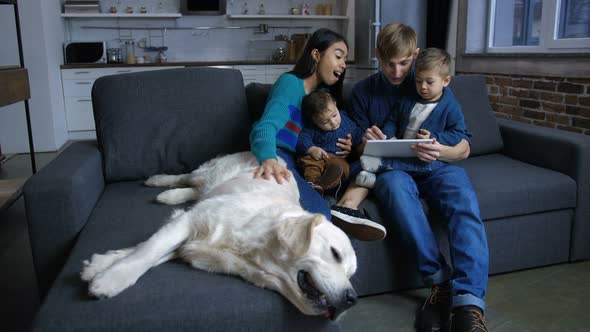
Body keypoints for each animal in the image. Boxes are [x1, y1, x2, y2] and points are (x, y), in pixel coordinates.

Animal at [81, 152, 358, 320]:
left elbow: (149, 250)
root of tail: (276, 157)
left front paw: (100, 265)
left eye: (351, 274)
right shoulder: (190, 221)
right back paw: (158, 181)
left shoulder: (188, 241)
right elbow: (148, 251)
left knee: (194, 191)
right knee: (187, 176)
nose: (352, 299)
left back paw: (170, 196)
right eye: (334, 253)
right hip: (208, 172)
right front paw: (112, 278)